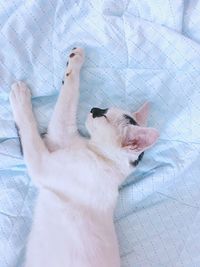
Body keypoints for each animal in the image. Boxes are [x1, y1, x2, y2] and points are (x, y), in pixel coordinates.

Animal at [9, 48, 159, 267]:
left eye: (103, 116)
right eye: (105, 109)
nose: (94, 109)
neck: (99, 155)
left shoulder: (42, 164)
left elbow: (30, 130)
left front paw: (20, 97)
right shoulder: (59, 135)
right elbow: (69, 94)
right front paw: (75, 60)